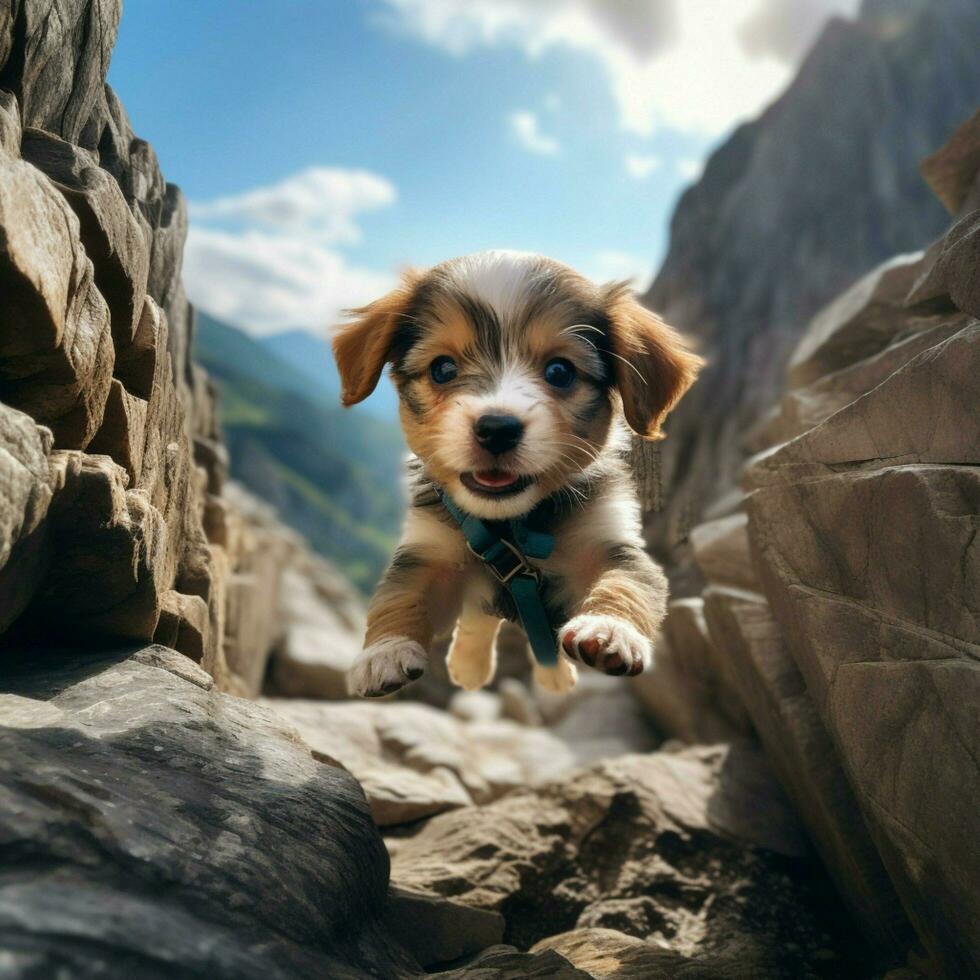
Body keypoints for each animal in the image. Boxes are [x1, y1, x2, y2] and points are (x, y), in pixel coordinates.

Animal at [334, 251, 700, 696]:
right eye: (442, 369)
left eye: (560, 371)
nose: (496, 428)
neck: (511, 525)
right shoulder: (431, 553)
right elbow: (400, 596)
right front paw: (384, 652)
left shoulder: (610, 543)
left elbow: (626, 583)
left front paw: (610, 629)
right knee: (478, 618)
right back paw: (468, 663)